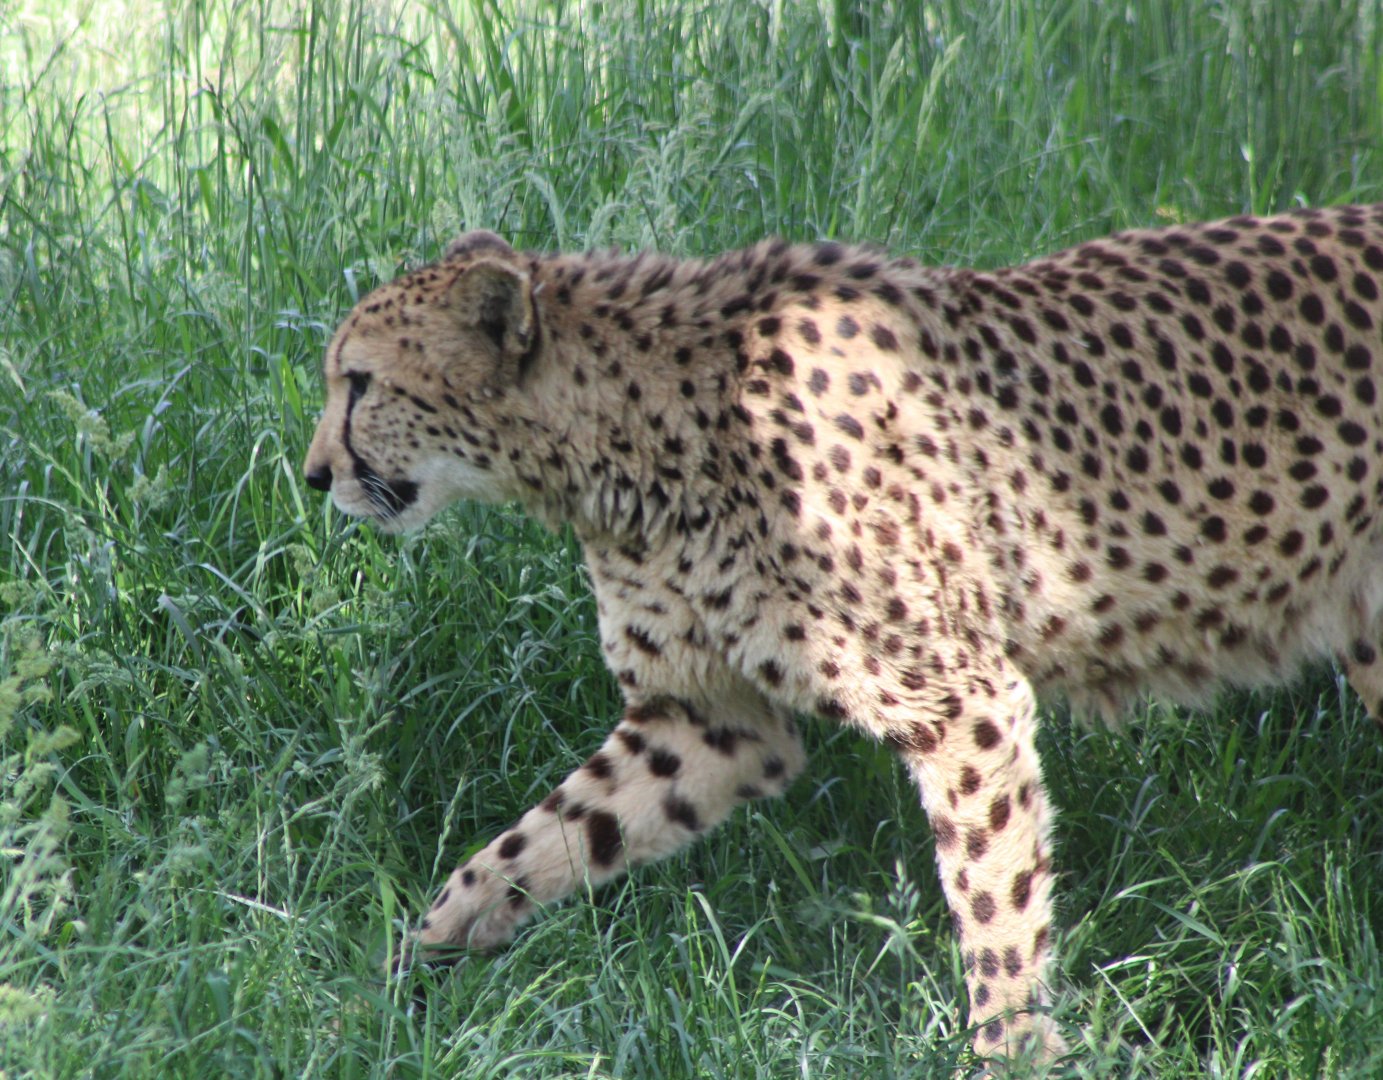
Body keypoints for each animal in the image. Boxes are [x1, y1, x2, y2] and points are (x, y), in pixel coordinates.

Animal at [303, 204, 1383, 1063]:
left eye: (360, 383)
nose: (314, 475)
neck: (634, 439)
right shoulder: (707, 720)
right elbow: (529, 846)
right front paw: (392, 985)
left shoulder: (963, 701)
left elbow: (993, 905)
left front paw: (1013, 1054)